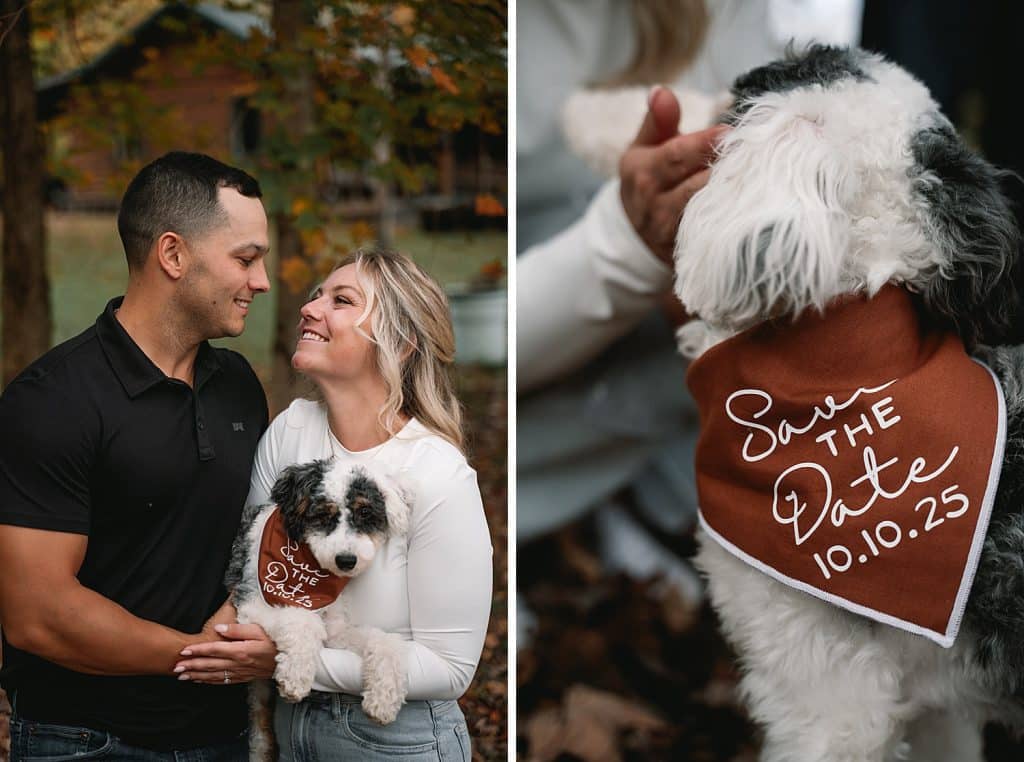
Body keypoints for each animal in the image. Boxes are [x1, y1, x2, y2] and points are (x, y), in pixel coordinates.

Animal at [224, 454, 411, 757]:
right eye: (323, 515)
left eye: (365, 512)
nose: (346, 560)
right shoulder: (250, 604)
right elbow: (302, 621)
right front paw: (296, 674)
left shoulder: (336, 631)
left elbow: (383, 641)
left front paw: (384, 699)